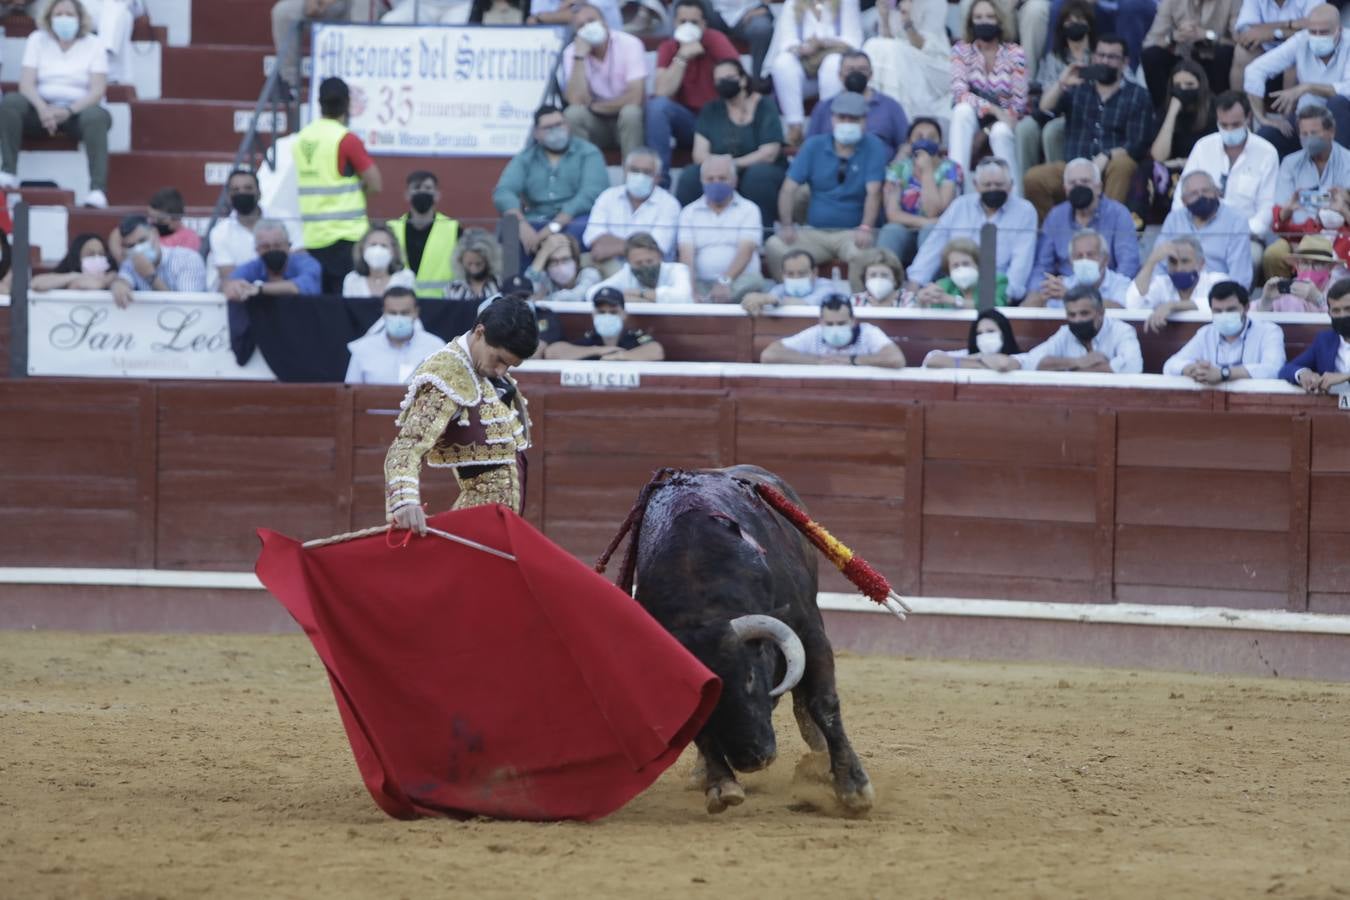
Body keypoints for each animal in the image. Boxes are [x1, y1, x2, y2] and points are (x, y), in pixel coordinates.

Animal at [602, 464, 874, 814]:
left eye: (749, 678)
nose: (752, 759)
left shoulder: (809, 630)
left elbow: (822, 701)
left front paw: (852, 787)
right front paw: (721, 783)